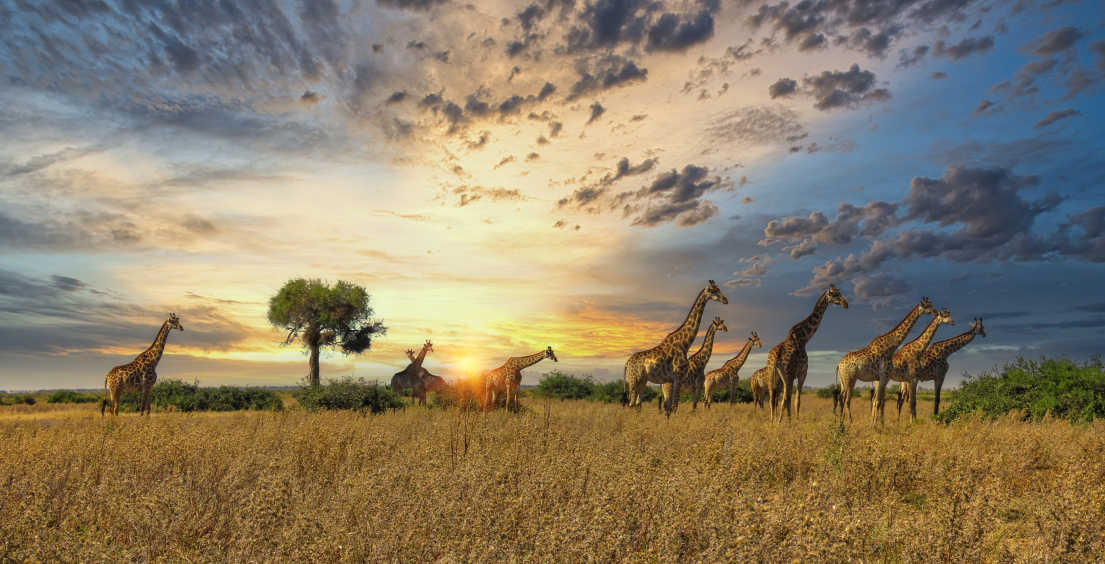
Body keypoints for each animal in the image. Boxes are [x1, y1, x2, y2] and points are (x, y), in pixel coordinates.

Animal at [627, 279, 729, 415]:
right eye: (713, 290)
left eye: (719, 289)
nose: (725, 299)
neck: (684, 343)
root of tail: (627, 364)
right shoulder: (679, 377)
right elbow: (676, 406)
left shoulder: (673, 380)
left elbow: (671, 407)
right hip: (634, 380)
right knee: (631, 403)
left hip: (642, 381)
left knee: (637, 403)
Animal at [773, 283, 848, 420]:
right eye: (834, 294)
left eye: (839, 292)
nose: (846, 303)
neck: (804, 338)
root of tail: (777, 360)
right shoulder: (802, 372)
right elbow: (797, 400)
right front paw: (796, 421)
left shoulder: (796, 374)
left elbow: (793, 400)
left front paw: (792, 421)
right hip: (788, 375)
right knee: (784, 398)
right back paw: (783, 422)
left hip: (782, 376)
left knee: (780, 398)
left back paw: (779, 421)